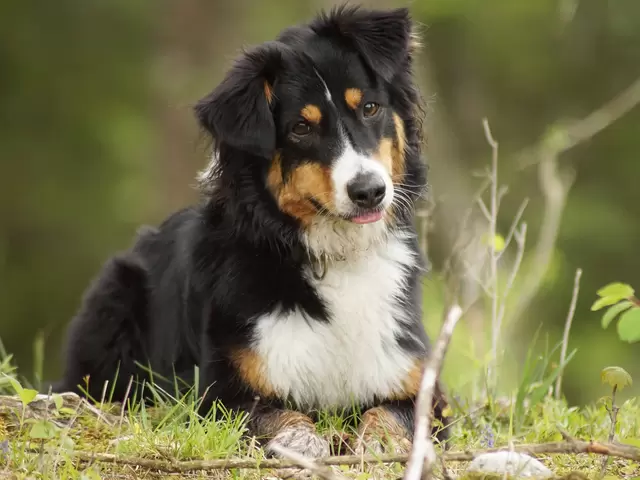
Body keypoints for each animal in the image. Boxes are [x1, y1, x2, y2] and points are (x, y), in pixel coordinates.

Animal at [51, 5, 450, 456]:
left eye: (369, 108)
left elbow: (388, 415)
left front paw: (378, 444)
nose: (369, 192)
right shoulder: (224, 394)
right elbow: (280, 416)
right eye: (300, 128)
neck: (334, 255)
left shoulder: (421, 387)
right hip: (116, 293)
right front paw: (304, 442)